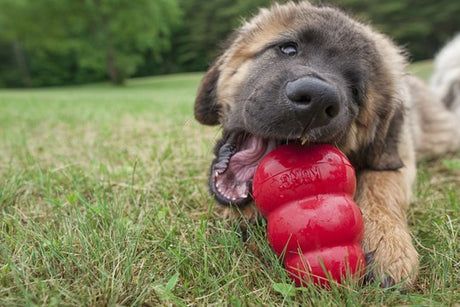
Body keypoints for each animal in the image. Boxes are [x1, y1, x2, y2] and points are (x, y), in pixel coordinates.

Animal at [193, 1, 460, 288]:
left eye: (355, 90)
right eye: (288, 49)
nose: (317, 100)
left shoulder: (398, 157)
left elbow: (383, 186)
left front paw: (387, 242)